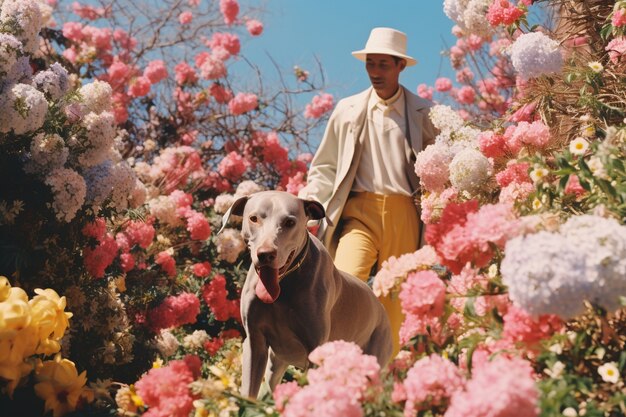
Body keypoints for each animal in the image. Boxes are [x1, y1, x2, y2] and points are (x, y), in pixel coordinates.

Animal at [219, 190, 390, 398]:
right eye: (253, 218)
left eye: (289, 222)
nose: (266, 254)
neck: (284, 285)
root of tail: (381, 309)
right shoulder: (254, 343)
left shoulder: (315, 351)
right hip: (276, 364)